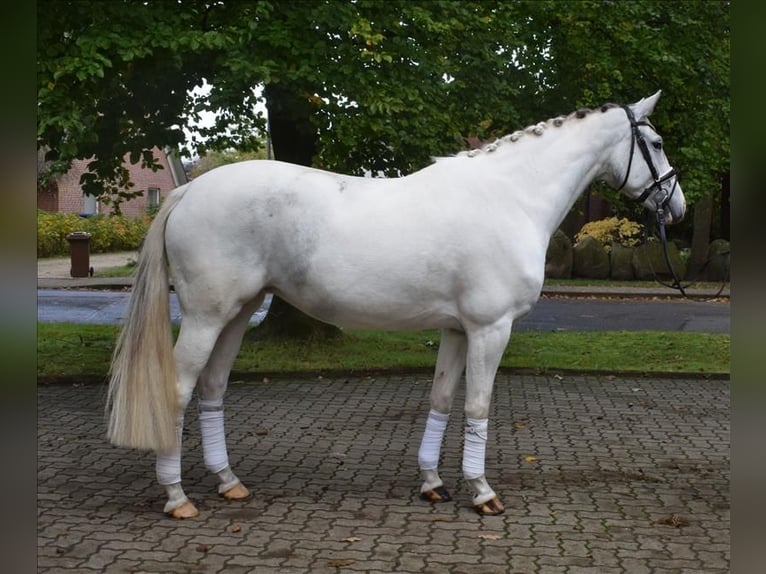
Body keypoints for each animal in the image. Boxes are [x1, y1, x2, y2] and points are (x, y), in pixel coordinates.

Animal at [106, 92, 684, 520]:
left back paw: (229, 483)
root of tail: (188, 193)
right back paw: (178, 498)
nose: (676, 206)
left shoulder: (457, 330)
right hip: (206, 317)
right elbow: (477, 407)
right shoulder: (490, 328)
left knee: (212, 389)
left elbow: (442, 399)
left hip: (239, 313)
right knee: (178, 391)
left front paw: (433, 483)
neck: (510, 197)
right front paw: (482, 492)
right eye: (655, 142)